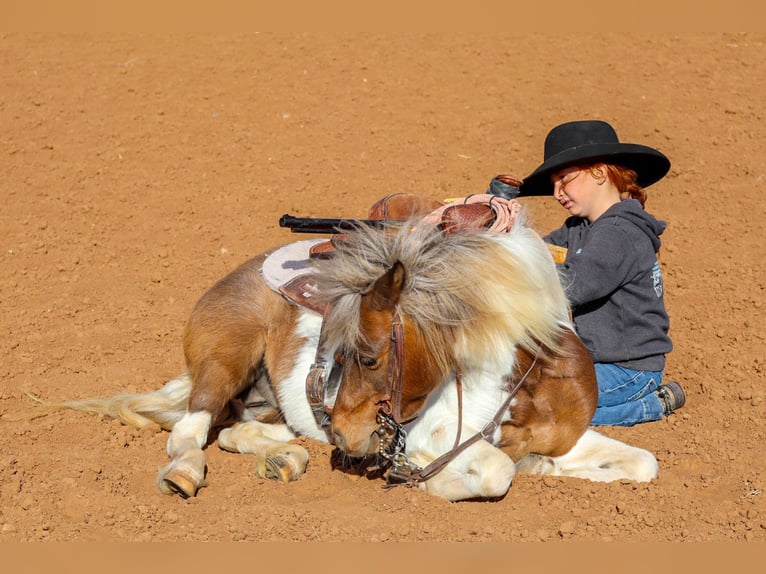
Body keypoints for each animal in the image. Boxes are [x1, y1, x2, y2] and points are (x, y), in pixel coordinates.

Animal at [44, 203, 659, 501]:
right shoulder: (437, 437)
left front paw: (547, 467)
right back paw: (190, 474)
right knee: (190, 435)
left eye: (365, 357)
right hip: (225, 361)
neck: (522, 389)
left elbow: (642, 463)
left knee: (236, 429)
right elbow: (495, 471)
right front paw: (428, 481)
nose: (343, 436)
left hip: (263, 402)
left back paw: (283, 456)